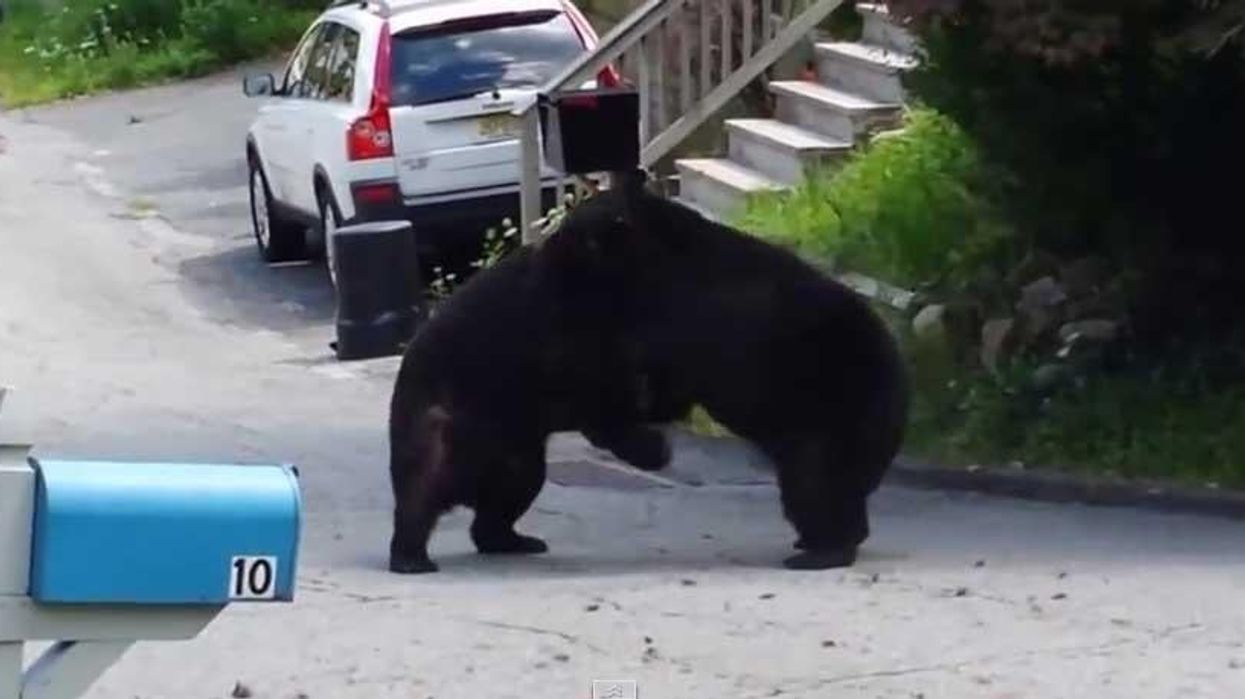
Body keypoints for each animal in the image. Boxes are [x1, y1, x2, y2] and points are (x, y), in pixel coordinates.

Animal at [387, 242, 676, 575]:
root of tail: (465, 489)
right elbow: (596, 400)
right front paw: (653, 445)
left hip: (511, 448)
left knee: (515, 487)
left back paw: (511, 539)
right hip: (442, 418)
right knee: (422, 485)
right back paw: (411, 557)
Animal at [535, 176, 911, 570]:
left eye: (571, 232)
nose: (543, 245)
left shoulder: (680, 317)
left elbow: (653, 378)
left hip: (836, 404)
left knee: (815, 478)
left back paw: (825, 548)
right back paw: (812, 540)